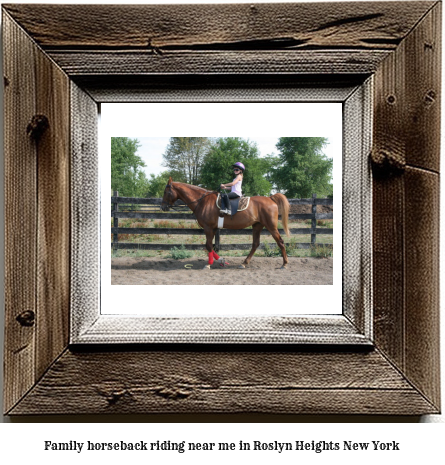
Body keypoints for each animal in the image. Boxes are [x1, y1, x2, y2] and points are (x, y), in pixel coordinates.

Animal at [160, 177, 292, 268]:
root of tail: (270, 198)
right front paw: (220, 260)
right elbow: (209, 246)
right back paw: (244, 263)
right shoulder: (213, 229)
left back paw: (285, 264)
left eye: (166, 192)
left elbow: (209, 246)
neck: (202, 201)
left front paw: (210, 263)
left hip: (271, 226)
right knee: (255, 244)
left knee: (280, 242)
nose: (163, 207)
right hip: (257, 226)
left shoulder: (208, 228)